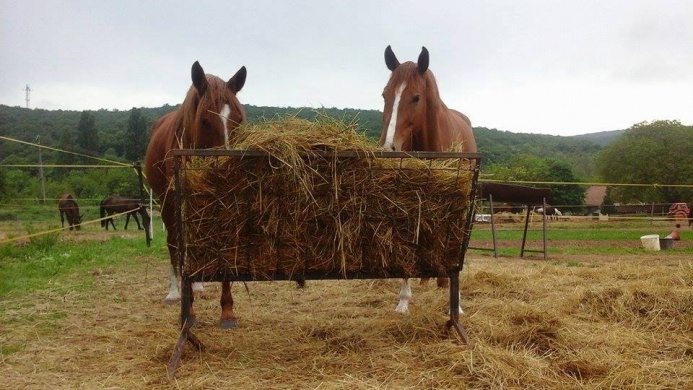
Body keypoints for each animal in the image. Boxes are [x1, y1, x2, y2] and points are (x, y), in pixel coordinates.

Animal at [143, 61, 246, 330]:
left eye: (238, 120)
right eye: (205, 121)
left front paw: (227, 310)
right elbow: (178, 245)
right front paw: (187, 308)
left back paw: (197, 284)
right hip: (167, 204)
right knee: (174, 243)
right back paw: (174, 291)